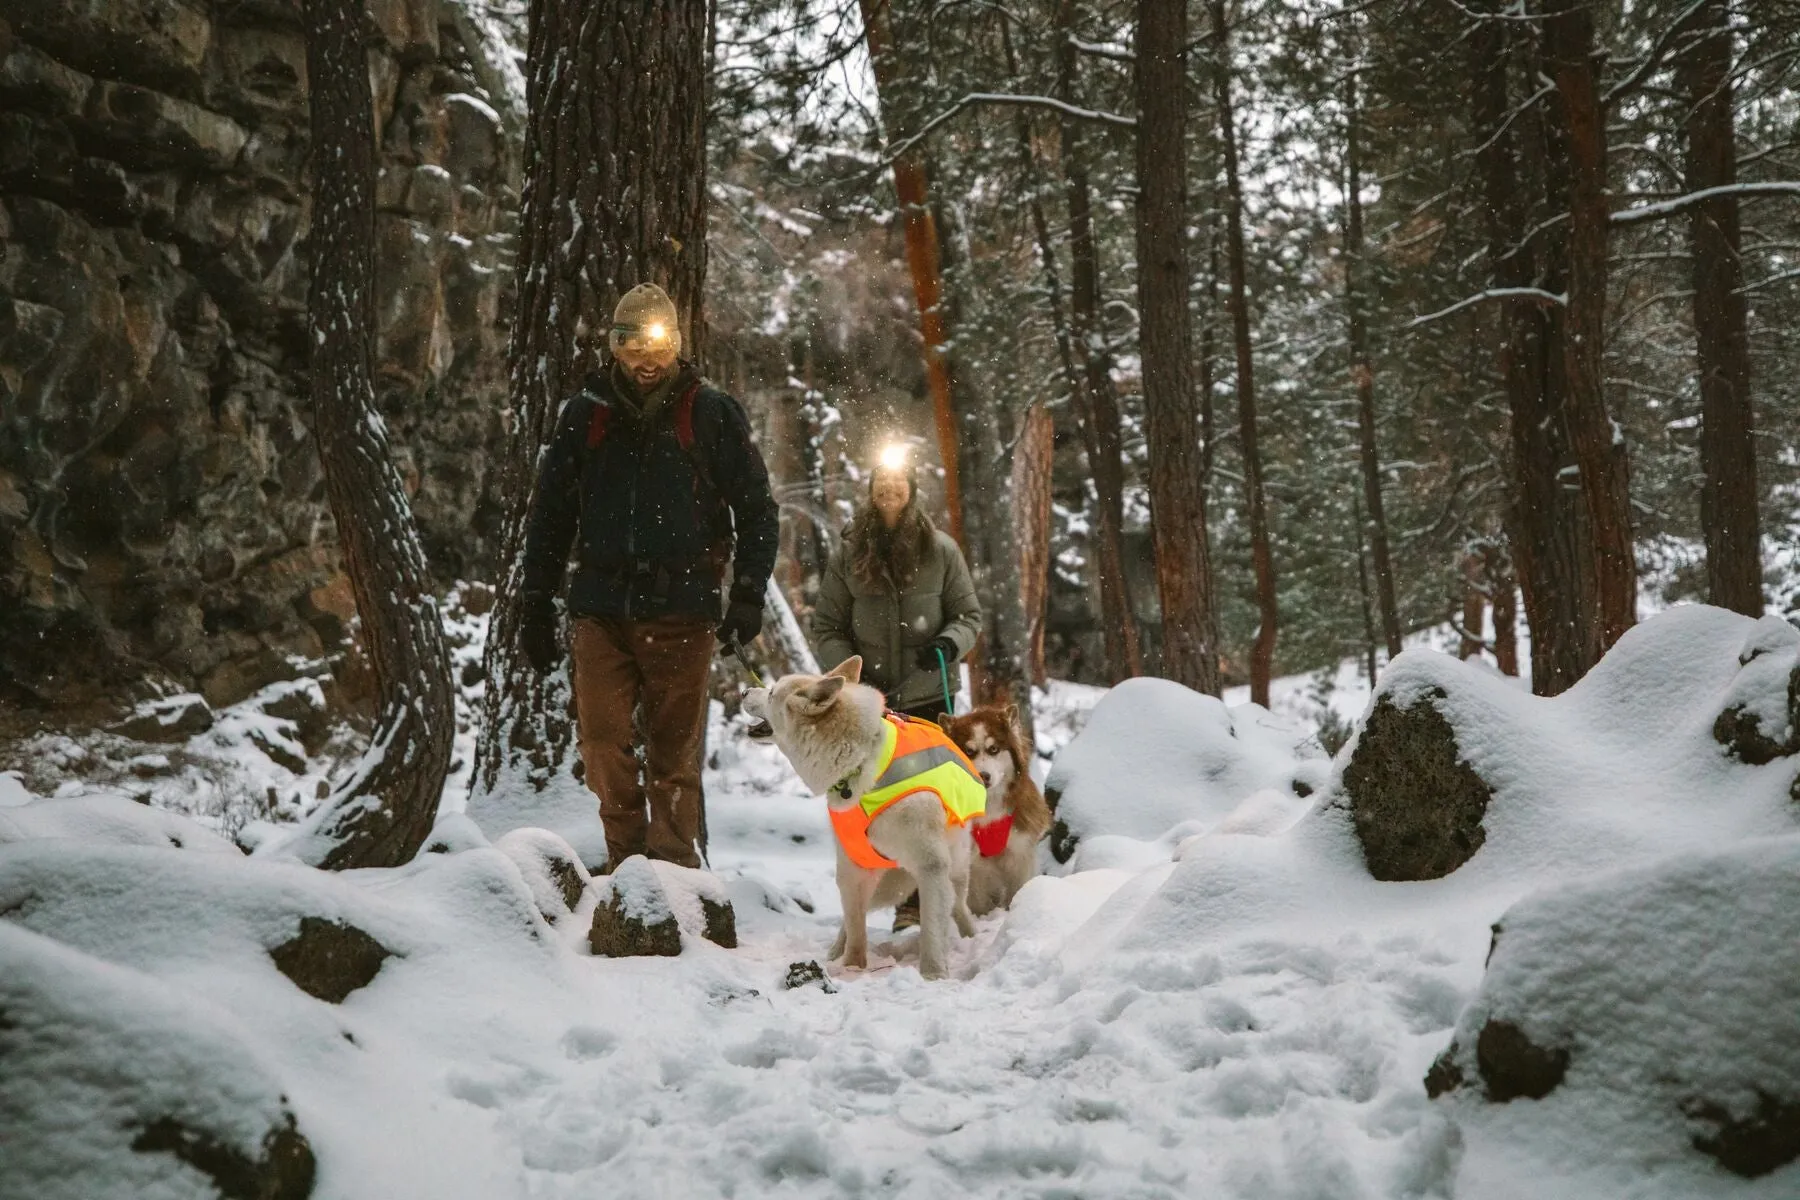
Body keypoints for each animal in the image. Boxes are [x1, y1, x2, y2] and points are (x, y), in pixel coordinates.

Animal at [738, 662, 979, 978]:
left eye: (772, 692)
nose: (743, 691)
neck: (861, 766)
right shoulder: (852, 866)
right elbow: (855, 929)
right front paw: (852, 968)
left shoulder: (931, 866)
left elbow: (931, 929)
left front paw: (933, 974)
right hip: (880, 882)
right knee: (852, 917)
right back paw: (833, 954)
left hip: (950, 869)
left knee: (958, 905)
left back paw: (972, 937)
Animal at [936, 708, 1051, 913]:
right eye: (969, 751)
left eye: (994, 749)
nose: (984, 776)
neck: (988, 804)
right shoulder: (973, 863)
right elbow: (977, 901)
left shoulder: (1019, 851)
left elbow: (1017, 889)